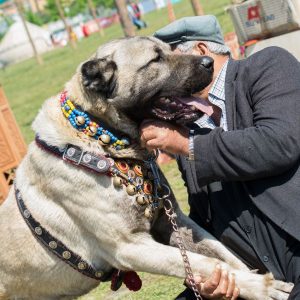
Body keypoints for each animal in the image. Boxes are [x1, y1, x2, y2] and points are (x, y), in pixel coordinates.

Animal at [0, 37, 294, 298]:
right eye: (155, 59)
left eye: (171, 50)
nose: (209, 62)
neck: (102, 141)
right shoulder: (130, 247)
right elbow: (209, 264)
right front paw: (262, 288)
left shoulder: (175, 222)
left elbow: (222, 253)